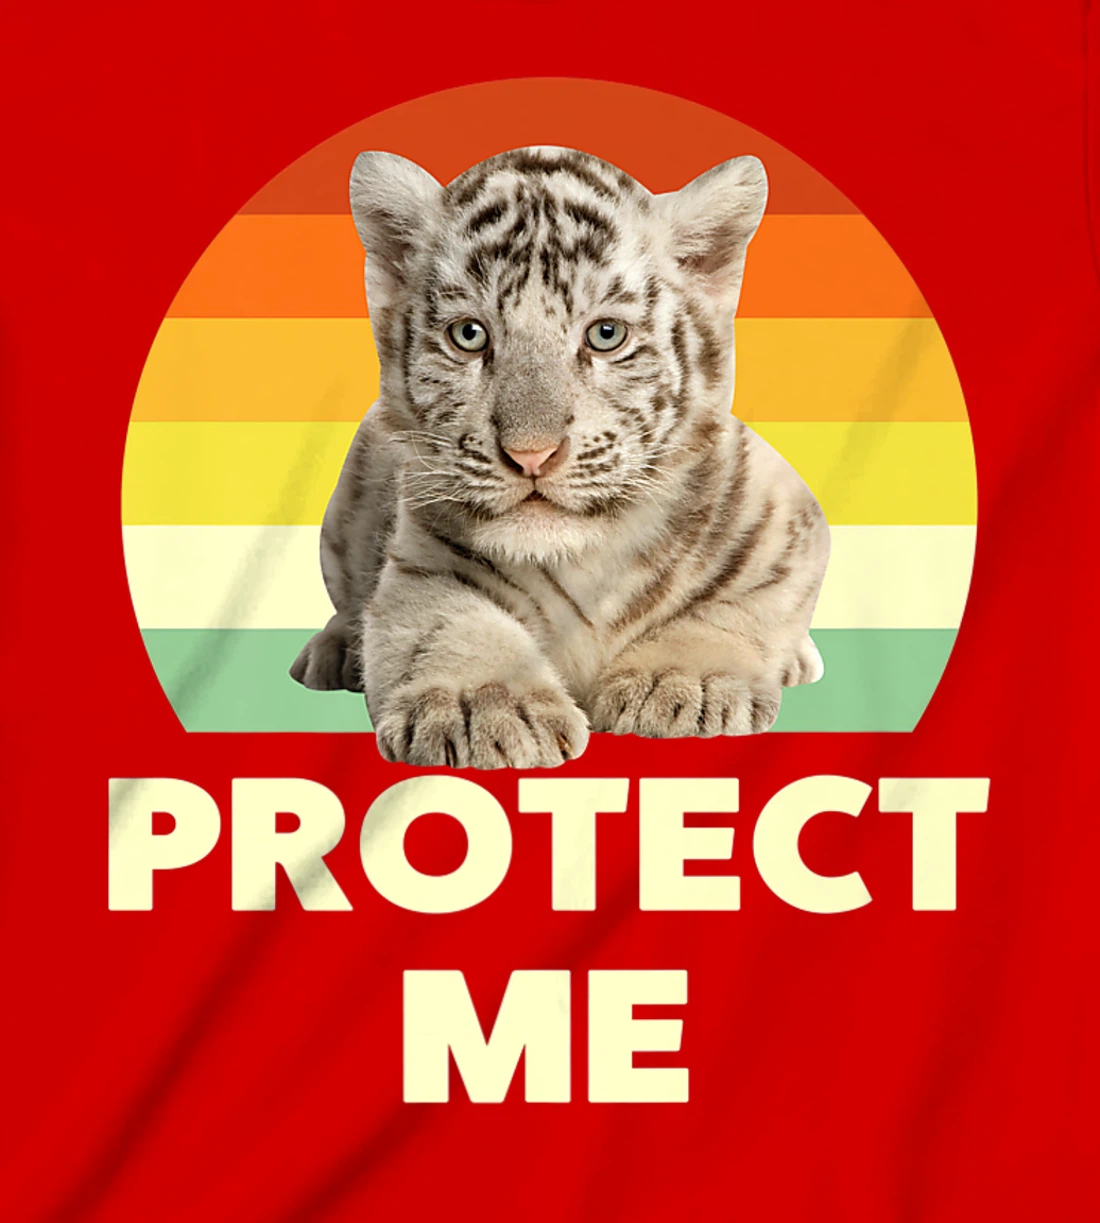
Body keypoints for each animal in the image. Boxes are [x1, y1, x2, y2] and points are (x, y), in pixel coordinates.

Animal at [289, 145, 830, 768]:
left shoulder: (790, 521)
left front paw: (681, 683)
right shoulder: (421, 564)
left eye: (606, 335)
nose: (531, 455)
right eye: (469, 335)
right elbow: (448, 626)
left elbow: (744, 606)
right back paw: (329, 654)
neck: (584, 555)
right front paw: (483, 708)